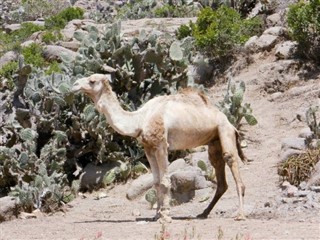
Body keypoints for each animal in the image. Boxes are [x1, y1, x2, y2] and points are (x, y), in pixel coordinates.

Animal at [72, 73, 248, 223]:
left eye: (92, 80)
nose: (74, 85)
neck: (140, 119)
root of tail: (230, 123)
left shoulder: (162, 145)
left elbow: (164, 180)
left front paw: (166, 216)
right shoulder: (148, 148)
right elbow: (156, 181)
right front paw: (156, 215)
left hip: (224, 130)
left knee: (230, 159)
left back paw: (240, 215)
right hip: (214, 141)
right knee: (219, 173)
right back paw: (203, 213)